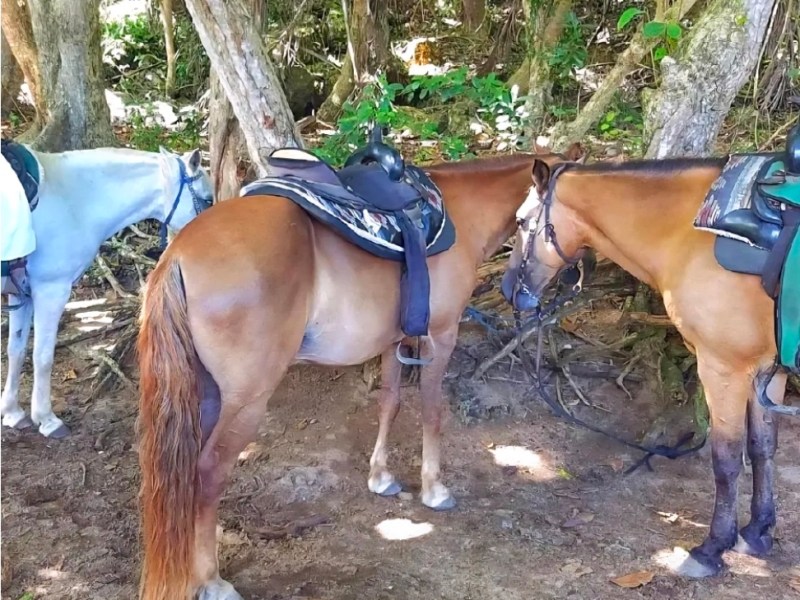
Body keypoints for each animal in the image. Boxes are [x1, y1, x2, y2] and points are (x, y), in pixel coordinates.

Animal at [1, 145, 214, 439]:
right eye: (207, 200)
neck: (71, 199)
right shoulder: (50, 291)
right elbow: (42, 356)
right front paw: (47, 419)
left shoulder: (22, 294)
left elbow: (16, 350)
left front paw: (11, 412)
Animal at [134, 142, 585, 600]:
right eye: (530, 221)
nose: (518, 293)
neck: (461, 212)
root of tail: (178, 255)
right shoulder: (441, 335)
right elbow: (432, 410)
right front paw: (434, 489)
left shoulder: (393, 342)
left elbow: (390, 403)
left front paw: (381, 477)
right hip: (246, 400)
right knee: (208, 473)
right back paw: (212, 581)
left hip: (205, 392)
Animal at [501, 148, 796, 578]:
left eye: (523, 221)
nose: (508, 289)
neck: (692, 235)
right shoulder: (766, 369)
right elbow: (763, 447)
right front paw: (757, 531)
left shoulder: (723, 368)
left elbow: (726, 460)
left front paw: (712, 548)